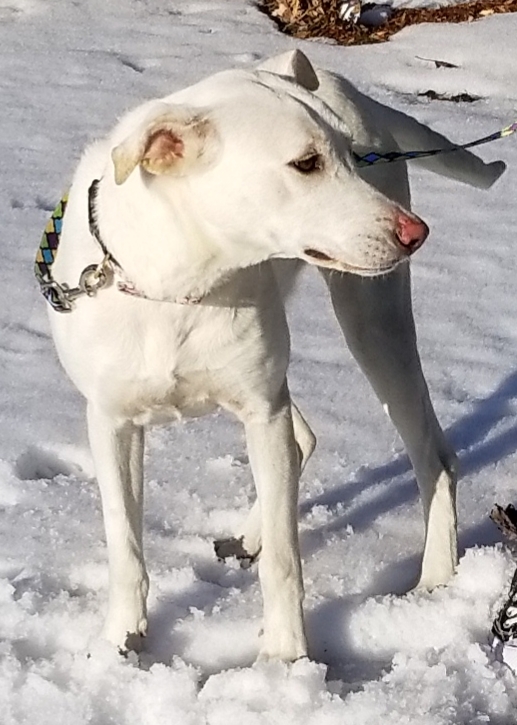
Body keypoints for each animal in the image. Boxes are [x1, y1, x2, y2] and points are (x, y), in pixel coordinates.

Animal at [44, 49, 504, 660]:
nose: (418, 233)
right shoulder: (112, 421)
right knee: (304, 439)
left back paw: (434, 580)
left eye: (350, 156)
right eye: (306, 163)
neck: (181, 288)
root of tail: (341, 81)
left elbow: (285, 562)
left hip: (374, 323)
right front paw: (121, 642)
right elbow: (125, 544)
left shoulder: (262, 409)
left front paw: (285, 660)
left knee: (433, 457)